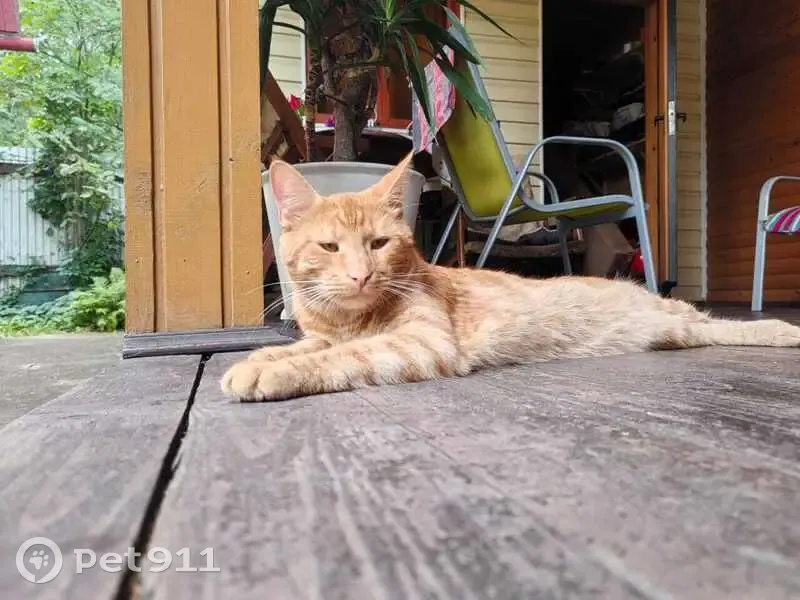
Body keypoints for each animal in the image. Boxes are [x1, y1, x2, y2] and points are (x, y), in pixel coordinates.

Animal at [221, 153, 800, 401]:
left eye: (378, 245)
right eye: (329, 247)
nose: (361, 276)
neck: (349, 319)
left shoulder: (423, 342)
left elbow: (342, 357)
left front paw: (270, 373)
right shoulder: (323, 334)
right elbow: (302, 347)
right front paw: (258, 359)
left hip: (676, 315)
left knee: (722, 321)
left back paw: (781, 330)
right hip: (673, 332)